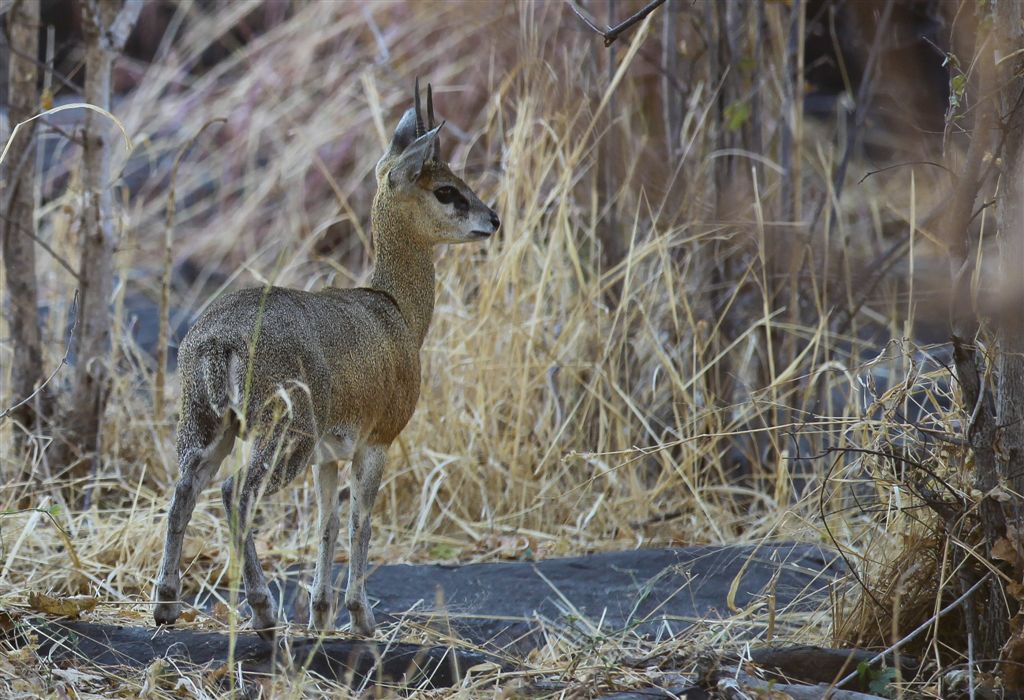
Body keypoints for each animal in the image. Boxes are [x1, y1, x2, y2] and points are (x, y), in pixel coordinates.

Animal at [151, 81, 499, 638]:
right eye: (447, 189)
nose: (493, 219)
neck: (397, 313)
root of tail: (218, 339)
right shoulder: (377, 440)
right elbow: (361, 521)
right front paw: (361, 616)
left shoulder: (328, 455)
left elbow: (327, 523)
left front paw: (319, 613)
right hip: (282, 431)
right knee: (234, 493)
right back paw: (263, 610)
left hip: (205, 423)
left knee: (184, 490)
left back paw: (165, 603)